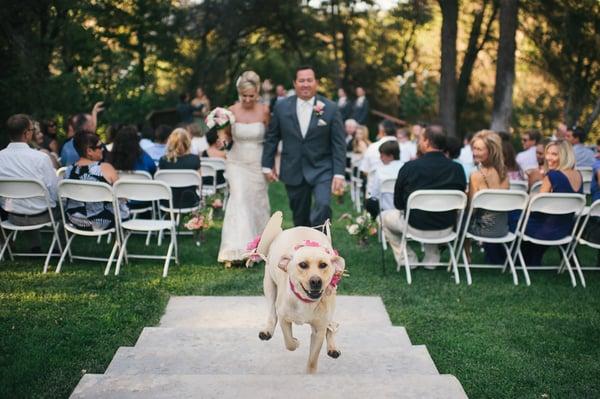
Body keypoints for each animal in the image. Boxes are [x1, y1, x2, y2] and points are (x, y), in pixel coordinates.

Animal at [253, 212, 346, 376]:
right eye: (303, 265)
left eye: (323, 265)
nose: (316, 281)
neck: (305, 301)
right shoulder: (284, 318)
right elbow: (288, 342)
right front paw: (295, 342)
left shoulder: (318, 330)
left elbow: (313, 359)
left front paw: (310, 374)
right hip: (269, 285)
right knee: (272, 313)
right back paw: (267, 330)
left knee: (332, 325)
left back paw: (332, 347)